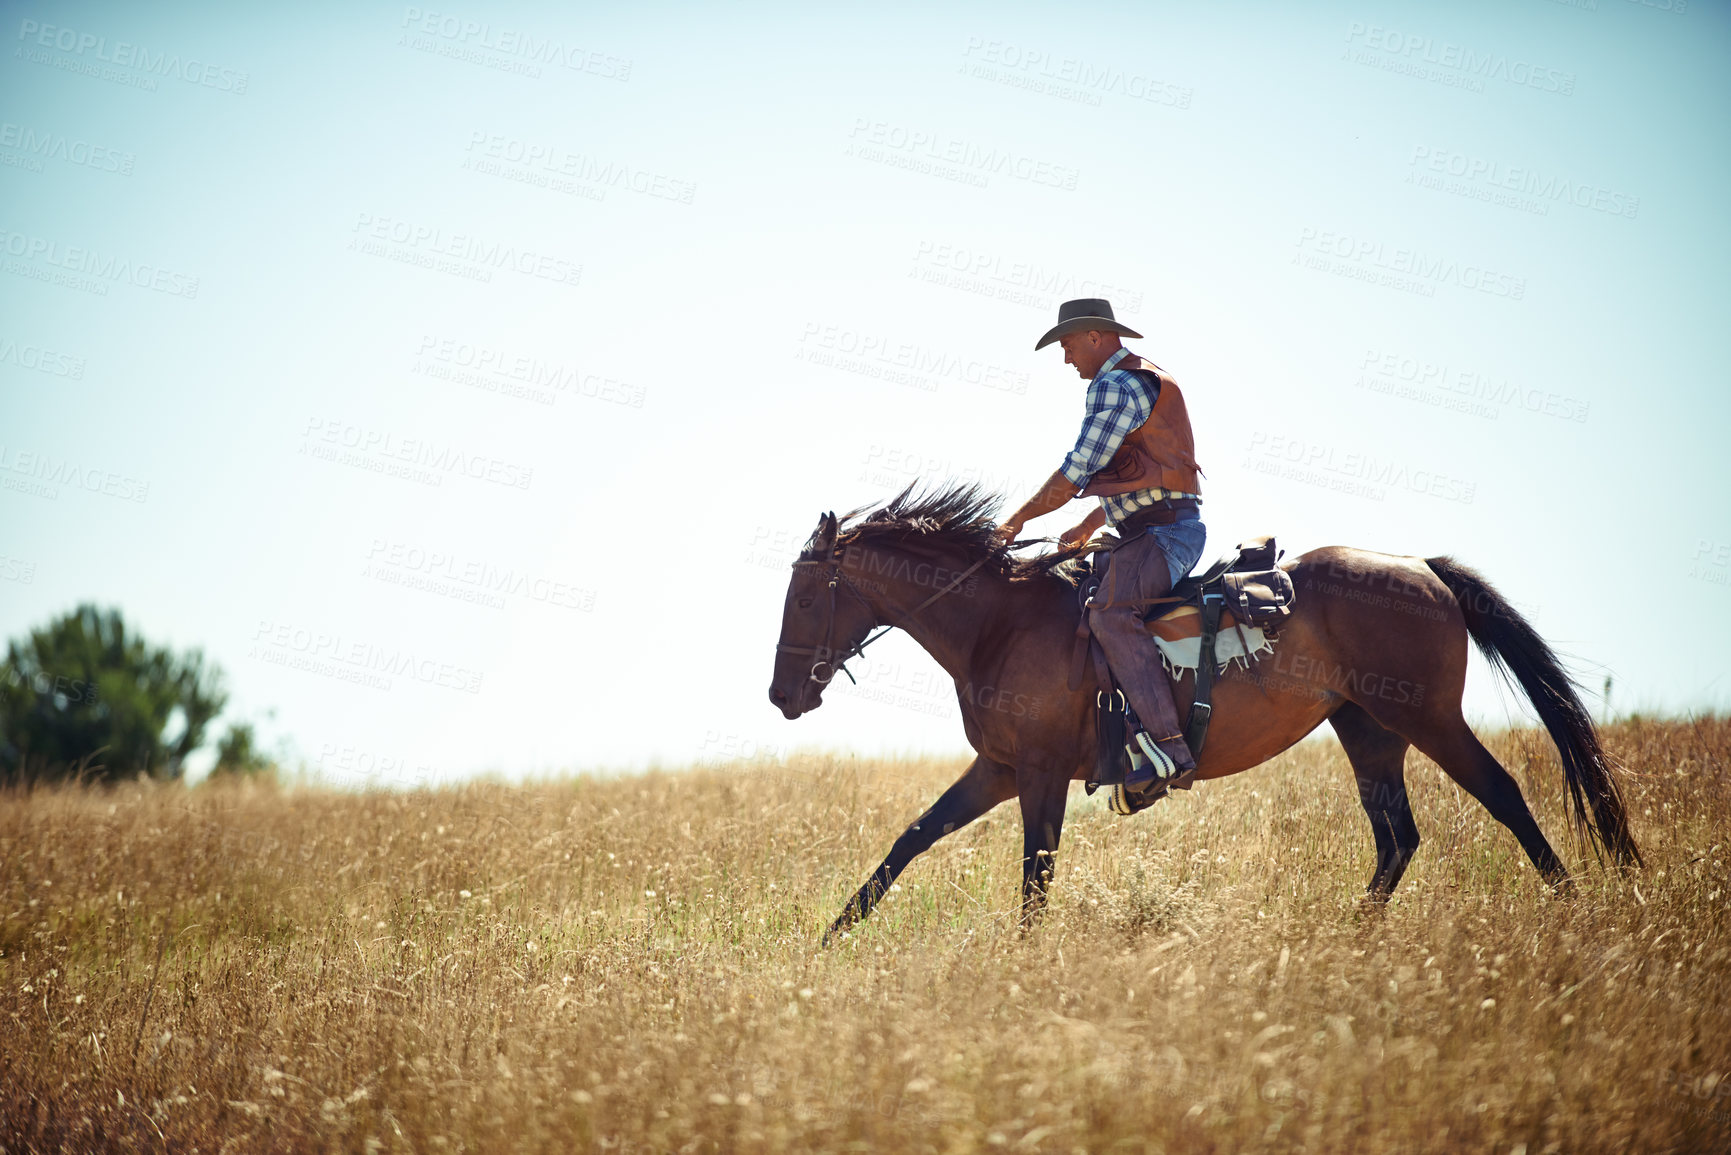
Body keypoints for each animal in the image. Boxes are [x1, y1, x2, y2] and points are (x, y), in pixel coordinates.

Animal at [768, 484, 1634, 942]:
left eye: (806, 597)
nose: (782, 695)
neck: (1001, 622)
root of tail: (1419, 565)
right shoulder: (1000, 768)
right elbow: (910, 838)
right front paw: (831, 939)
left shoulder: (1040, 773)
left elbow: (1034, 873)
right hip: (1366, 729)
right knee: (1397, 835)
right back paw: (1351, 936)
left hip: (1430, 719)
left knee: (1502, 795)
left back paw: (1570, 906)